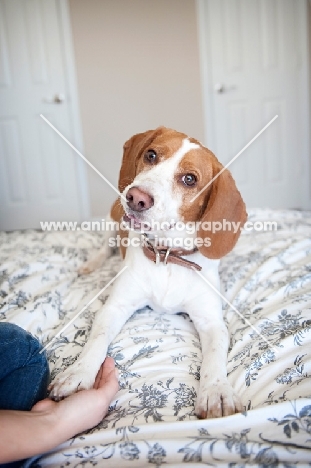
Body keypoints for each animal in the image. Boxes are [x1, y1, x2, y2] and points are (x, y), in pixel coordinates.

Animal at [50, 126, 247, 418]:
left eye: (189, 179)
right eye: (151, 155)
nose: (136, 197)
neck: (166, 257)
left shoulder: (211, 322)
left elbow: (214, 356)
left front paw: (216, 391)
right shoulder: (115, 308)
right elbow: (96, 341)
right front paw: (78, 373)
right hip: (111, 219)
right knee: (104, 246)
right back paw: (91, 263)